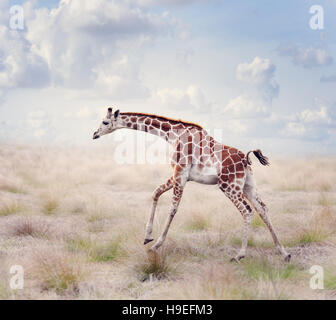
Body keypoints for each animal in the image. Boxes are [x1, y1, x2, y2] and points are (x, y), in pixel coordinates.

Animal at [92, 107, 292, 262]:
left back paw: (240, 255)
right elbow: (155, 193)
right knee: (263, 209)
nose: (94, 134)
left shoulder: (180, 173)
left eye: (104, 122)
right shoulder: (178, 175)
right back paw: (284, 253)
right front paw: (147, 237)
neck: (172, 135)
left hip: (228, 185)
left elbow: (173, 208)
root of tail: (245, 158)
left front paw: (156, 245)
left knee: (247, 211)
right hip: (248, 185)